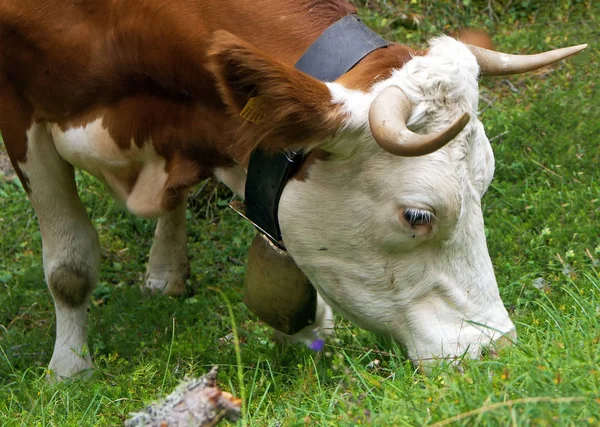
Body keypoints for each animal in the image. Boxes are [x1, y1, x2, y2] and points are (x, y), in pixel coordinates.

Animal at [0, 0, 584, 382]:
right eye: (417, 216)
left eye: (485, 184)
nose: (494, 349)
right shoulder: (20, 111)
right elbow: (70, 267)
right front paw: (69, 368)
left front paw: (309, 330)